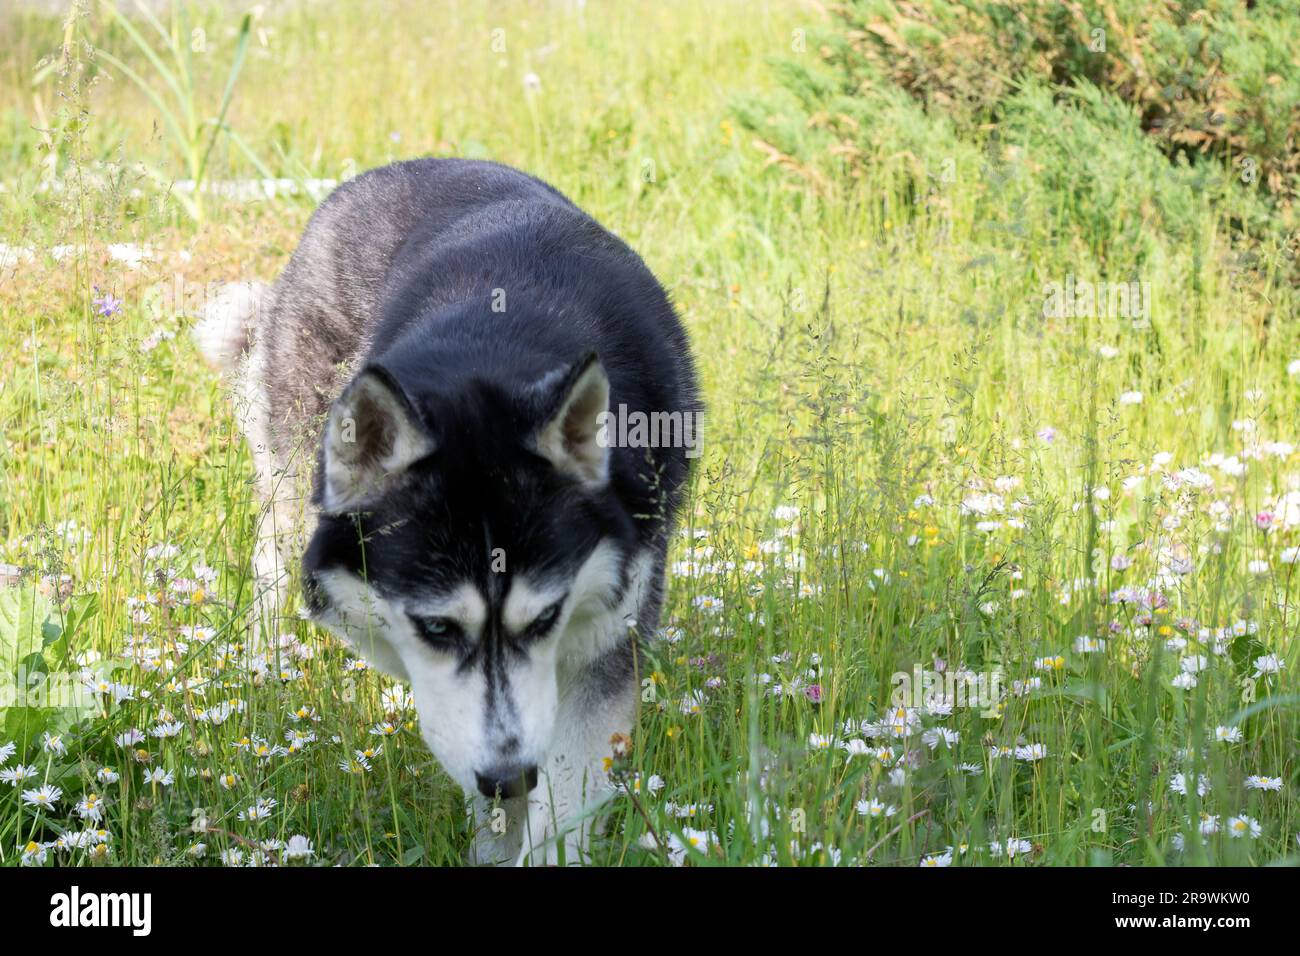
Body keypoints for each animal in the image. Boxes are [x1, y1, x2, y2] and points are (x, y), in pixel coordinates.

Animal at [192, 158, 696, 868]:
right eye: (436, 628)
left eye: (546, 619)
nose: (510, 777)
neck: (500, 344)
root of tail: (400, 166)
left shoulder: (603, 645)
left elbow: (557, 808)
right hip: (293, 473)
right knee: (270, 562)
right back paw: (266, 668)